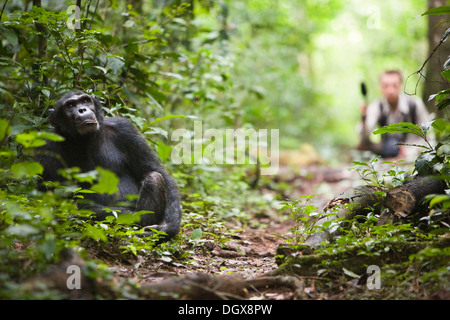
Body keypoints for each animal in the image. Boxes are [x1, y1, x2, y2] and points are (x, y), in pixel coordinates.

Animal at [35, 92, 181, 240]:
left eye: (85, 100)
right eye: (70, 105)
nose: (82, 109)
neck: (85, 140)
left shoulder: (126, 130)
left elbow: (154, 169)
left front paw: (166, 227)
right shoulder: (45, 146)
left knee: (154, 177)